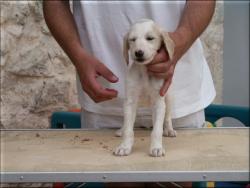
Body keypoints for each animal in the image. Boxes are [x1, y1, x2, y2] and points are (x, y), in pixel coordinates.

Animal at [113, 19, 176, 157]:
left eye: (150, 38)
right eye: (132, 39)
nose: (138, 52)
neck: (144, 71)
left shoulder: (159, 102)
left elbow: (157, 130)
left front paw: (156, 147)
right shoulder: (130, 102)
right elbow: (129, 129)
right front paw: (124, 146)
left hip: (168, 98)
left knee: (167, 117)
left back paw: (169, 130)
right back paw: (121, 129)